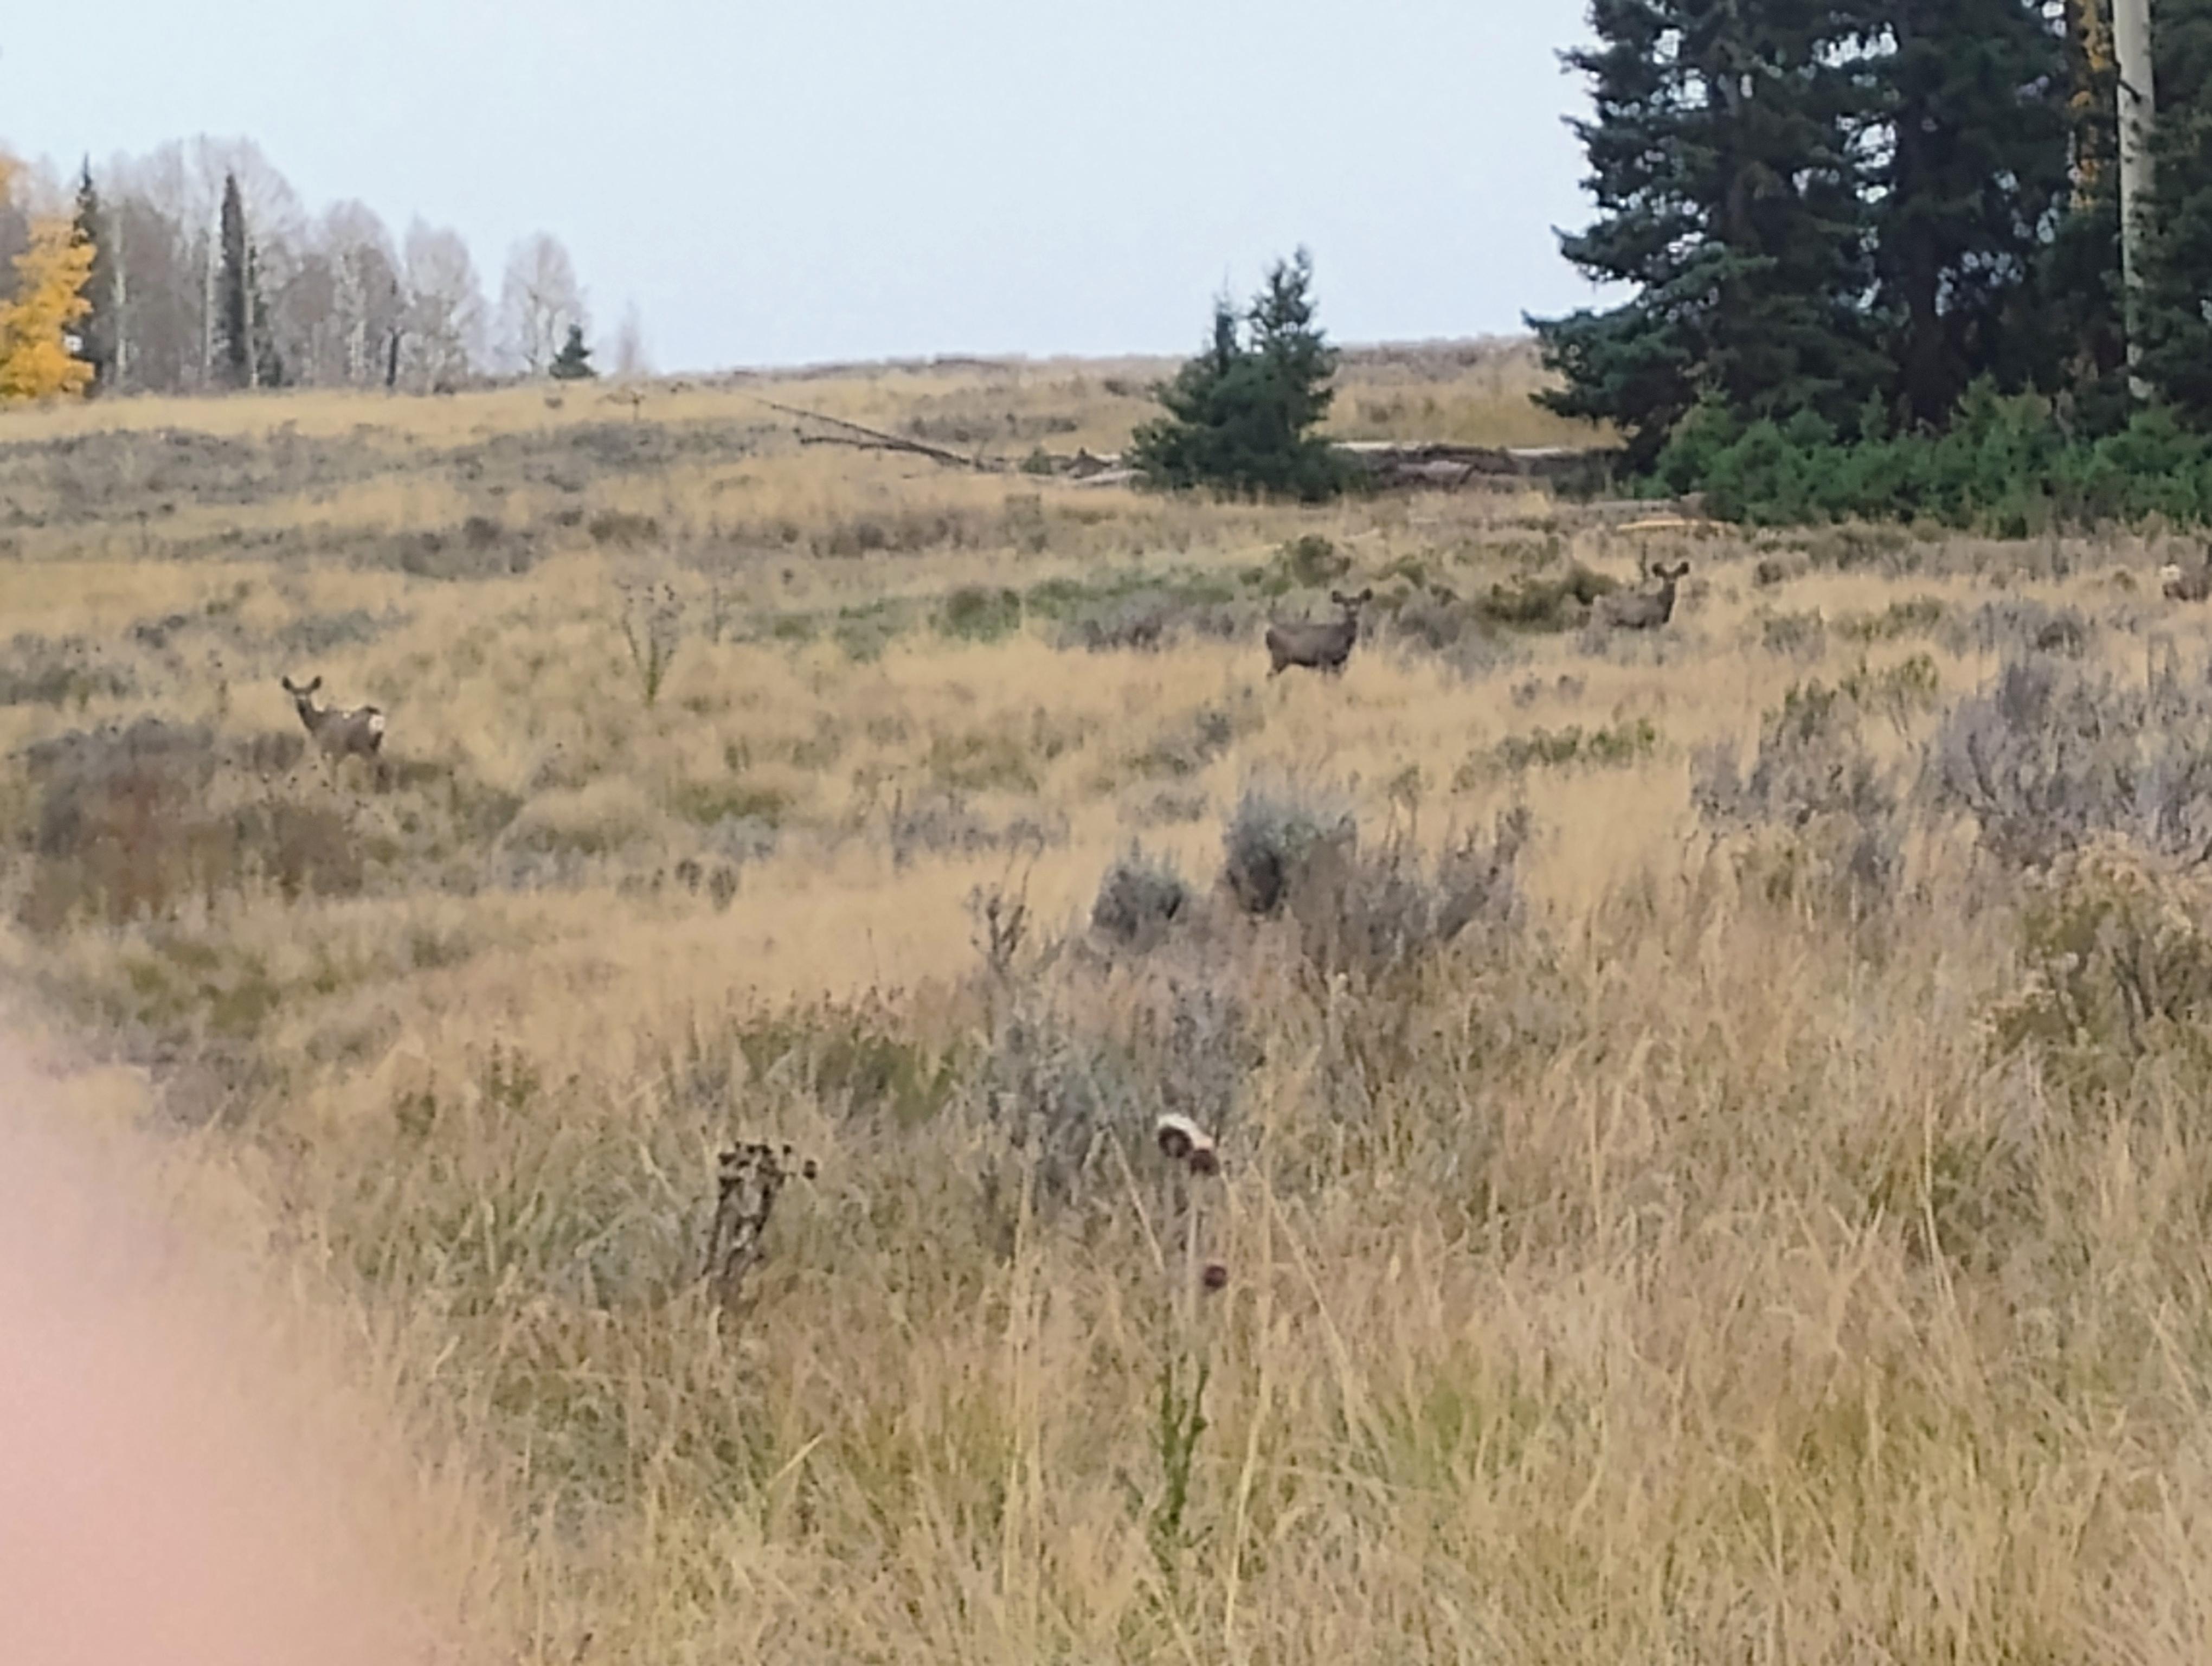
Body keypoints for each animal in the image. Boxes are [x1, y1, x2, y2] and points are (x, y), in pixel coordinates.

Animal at [281, 675, 387, 765]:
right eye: (294, 693)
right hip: (374, 746)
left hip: (363, 745)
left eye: (309, 693)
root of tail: (377, 717)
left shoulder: (330, 749)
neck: (317, 723)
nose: (301, 705)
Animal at [1265, 587, 1374, 676]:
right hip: (1279, 657)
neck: (1342, 635)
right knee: (1269, 676)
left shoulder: (1339, 662)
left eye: (1359, 603)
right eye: (1346, 604)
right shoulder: (1323, 658)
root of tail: (1268, 633)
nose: (1353, 611)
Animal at [1591, 560, 1692, 631]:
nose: (1672, 582)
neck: (1662, 602)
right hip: (1607, 621)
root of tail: (1597, 600)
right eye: (1665, 577)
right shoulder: (1653, 622)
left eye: (1676, 576)